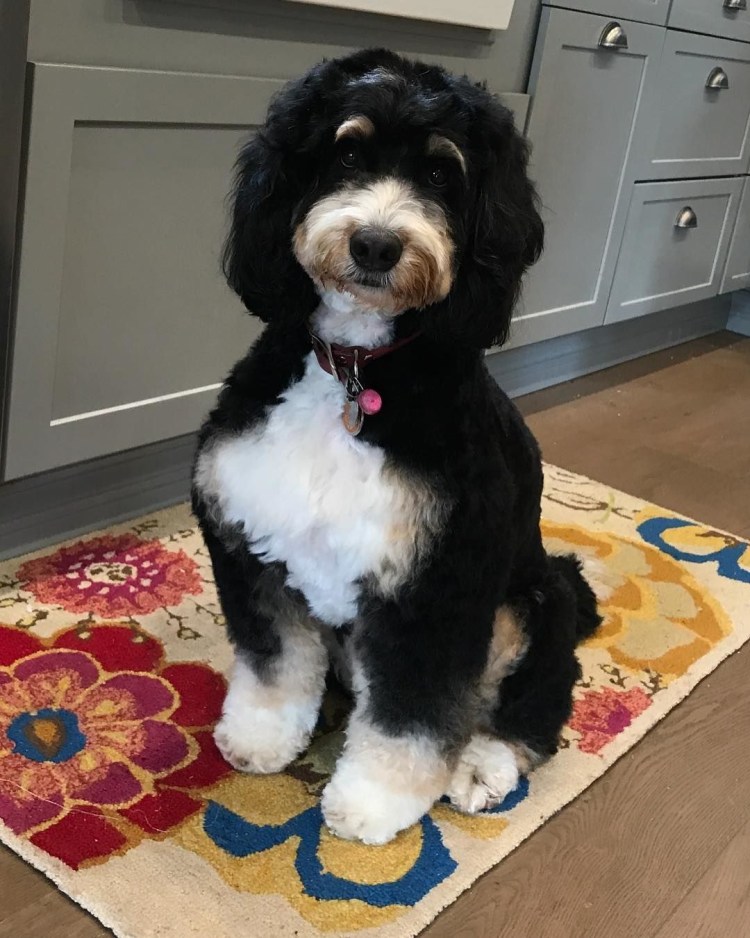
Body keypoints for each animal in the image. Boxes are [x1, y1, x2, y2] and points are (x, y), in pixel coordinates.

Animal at [192, 48, 601, 845]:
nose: (376, 244)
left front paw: (374, 802)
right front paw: (261, 736)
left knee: (531, 711)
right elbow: (273, 660)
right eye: (347, 151)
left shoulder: (436, 585)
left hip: (535, 600)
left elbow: (411, 716)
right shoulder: (253, 546)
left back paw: (480, 766)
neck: (355, 367)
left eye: (443, 173)